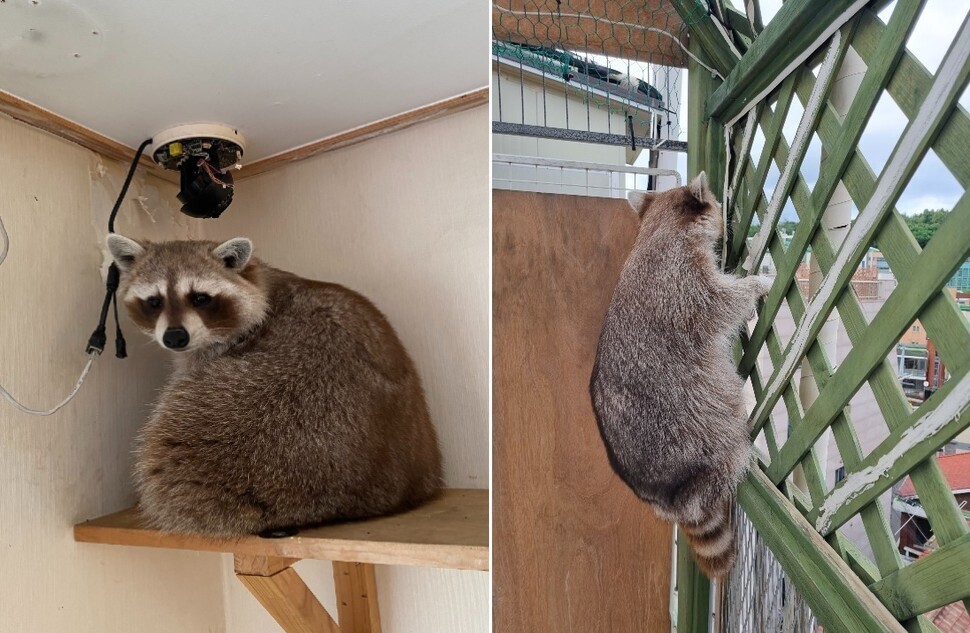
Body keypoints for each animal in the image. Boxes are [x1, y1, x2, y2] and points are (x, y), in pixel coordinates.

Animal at [588, 173, 768, 576]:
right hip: (698, 434)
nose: (727, 222)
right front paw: (755, 283)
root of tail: (665, 496)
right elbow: (721, 305)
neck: (659, 227)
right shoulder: (682, 281)